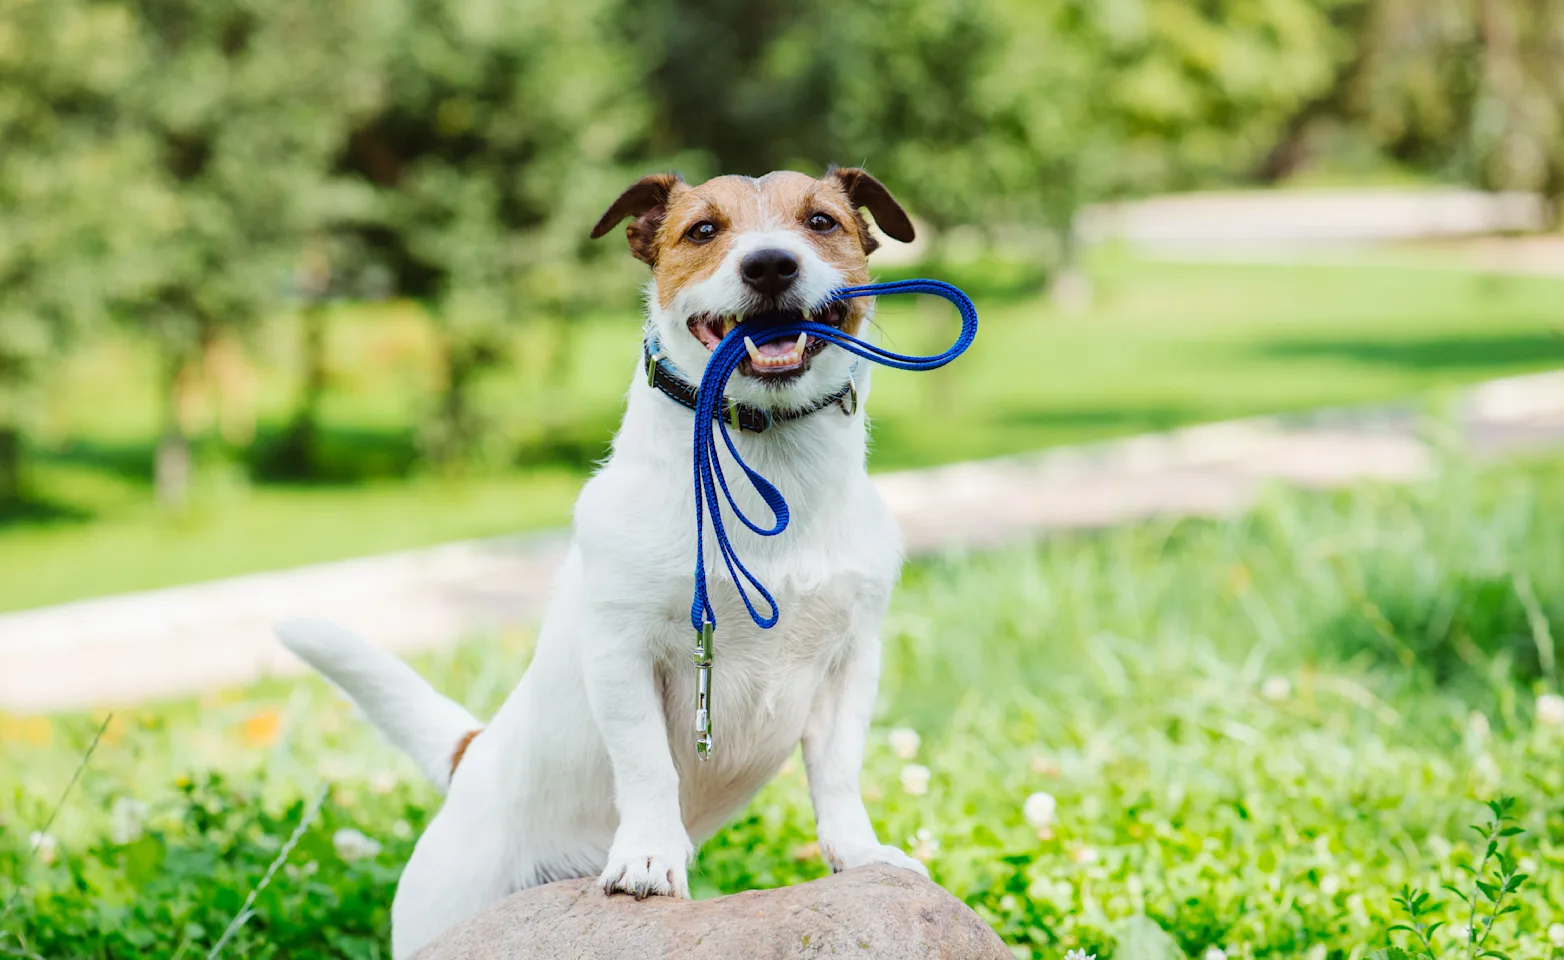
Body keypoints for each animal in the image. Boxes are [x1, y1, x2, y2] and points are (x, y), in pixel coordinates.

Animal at [276, 169, 919, 956]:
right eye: (704, 231)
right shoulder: (622, 649)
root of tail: (473, 758)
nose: (770, 264)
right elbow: (645, 763)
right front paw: (647, 857)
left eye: (821, 221)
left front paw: (858, 853)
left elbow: (838, 771)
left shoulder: (850, 659)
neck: (767, 465)